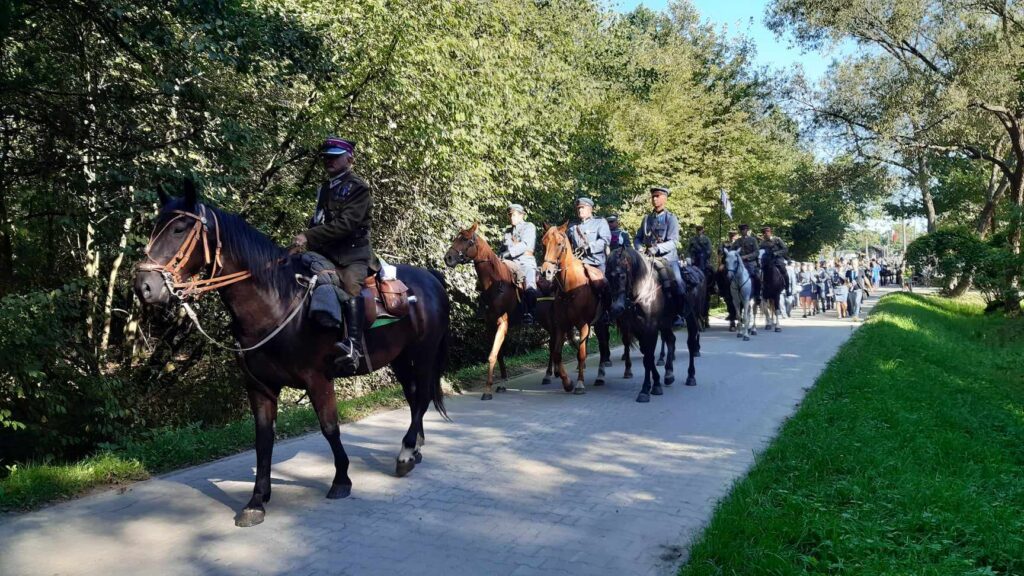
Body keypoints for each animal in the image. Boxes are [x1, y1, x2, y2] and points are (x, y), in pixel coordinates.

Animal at [133, 181, 448, 528]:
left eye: (179, 228)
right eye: (155, 227)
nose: (143, 286)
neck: (276, 303)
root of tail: (429, 278)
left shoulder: (317, 379)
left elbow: (329, 427)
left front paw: (341, 480)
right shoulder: (259, 385)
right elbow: (263, 439)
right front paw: (257, 500)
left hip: (423, 353)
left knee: (421, 398)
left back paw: (405, 454)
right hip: (401, 358)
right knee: (413, 397)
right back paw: (413, 448)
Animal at [536, 222, 606, 391]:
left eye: (559, 244)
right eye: (543, 242)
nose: (546, 271)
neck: (570, 288)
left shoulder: (583, 325)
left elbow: (581, 353)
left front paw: (579, 383)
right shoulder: (561, 325)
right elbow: (557, 353)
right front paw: (567, 382)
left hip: (600, 323)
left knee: (603, 345)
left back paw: (602, 374)